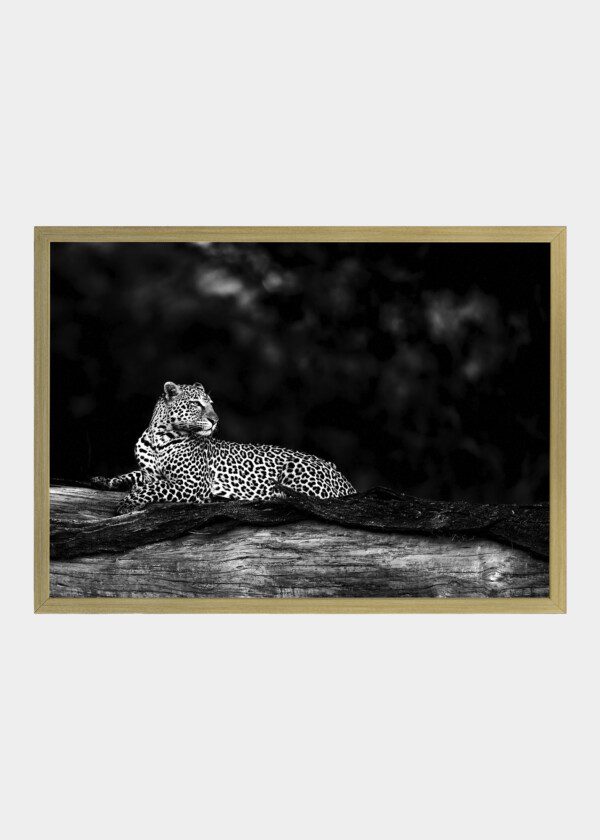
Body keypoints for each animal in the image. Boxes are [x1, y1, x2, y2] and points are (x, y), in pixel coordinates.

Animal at [91, 381, 356, 514]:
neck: (159, 438)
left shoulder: (191, 485)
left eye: (211, 404)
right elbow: (135, 475)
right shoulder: (150, 473)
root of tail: (344, 479)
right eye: (196, 404)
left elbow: (153, 488)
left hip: (298, 471)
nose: (215, 420)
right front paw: (104, 480)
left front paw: (128, 502)